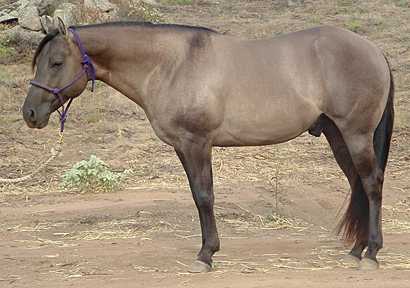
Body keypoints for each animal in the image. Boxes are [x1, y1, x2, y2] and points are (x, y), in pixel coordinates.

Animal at [21, 18, 394, 272]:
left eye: (56, 62)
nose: (30, 113)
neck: (170, 64)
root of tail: (373, 49)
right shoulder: (183, 147)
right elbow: (197, 196)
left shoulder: (196, 143)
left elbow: (204, 196)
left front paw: (206, 255)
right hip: (337, 134)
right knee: (358, 183)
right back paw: (356, 250)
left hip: (356, 133)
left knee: (372, 183)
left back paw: (372, 253)